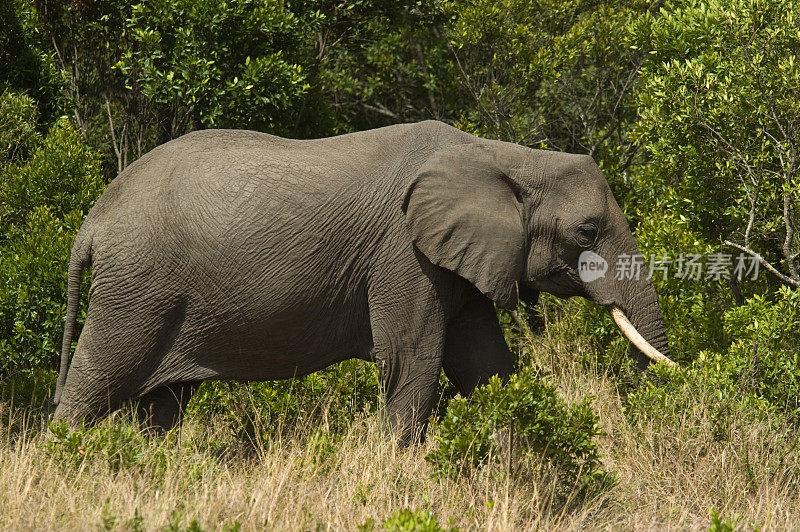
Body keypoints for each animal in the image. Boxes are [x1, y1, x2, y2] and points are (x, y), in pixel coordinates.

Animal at [51, 121, 676, 444]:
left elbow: (485, 366)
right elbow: (412, 363)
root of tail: (93, 220)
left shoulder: (454, 261)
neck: (506, 156)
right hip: (137, 289)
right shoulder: (404, 253)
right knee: (94, 380)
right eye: (587, 229)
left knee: (159, 406)